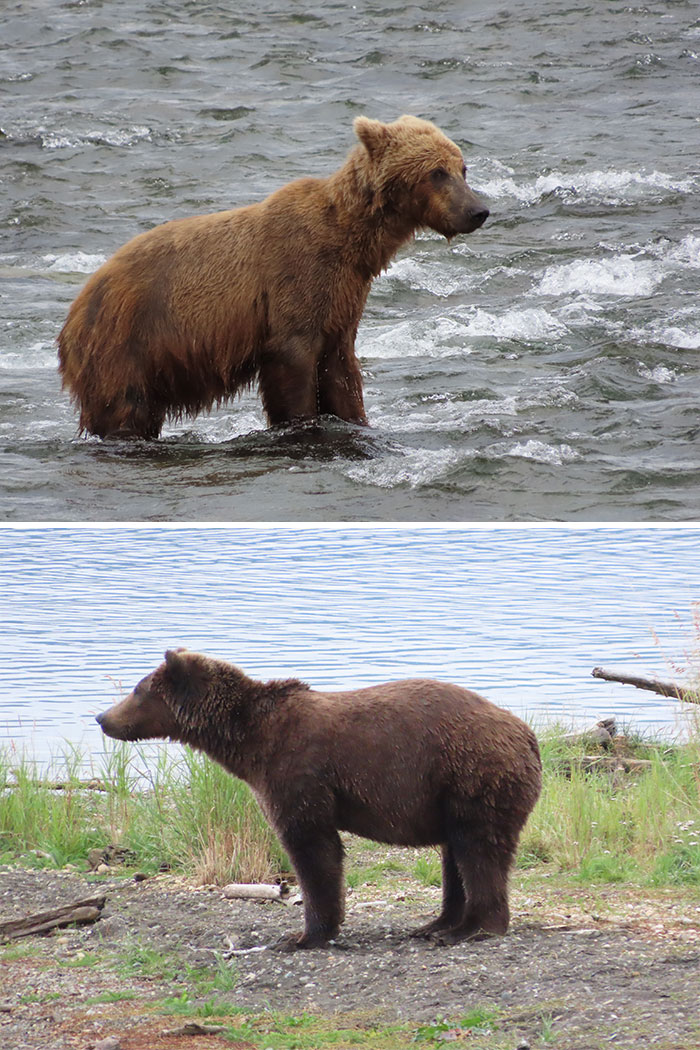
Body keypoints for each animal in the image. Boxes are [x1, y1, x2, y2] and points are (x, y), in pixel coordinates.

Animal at [58, 115, 489, 439]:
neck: (350, 240)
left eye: (462, 168)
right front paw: (300, 421)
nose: (478, 211)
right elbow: (293, 362)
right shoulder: (296, 280)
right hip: (127, 343)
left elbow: (341, 373)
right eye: (436, 172)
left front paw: (356, 420)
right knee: (124, 409)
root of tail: (75, 308)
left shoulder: (343, 297)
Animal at [96, 649, 541, 950]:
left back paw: (474, 928)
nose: (102, 718)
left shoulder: (297, 773)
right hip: (449, 794)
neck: (250, 741)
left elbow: (311, 847)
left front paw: (304, 934)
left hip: (473, 775)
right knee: (456, 855)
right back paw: (437, 924)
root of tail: (528, 735)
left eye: (137, 690)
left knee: (478, 850)